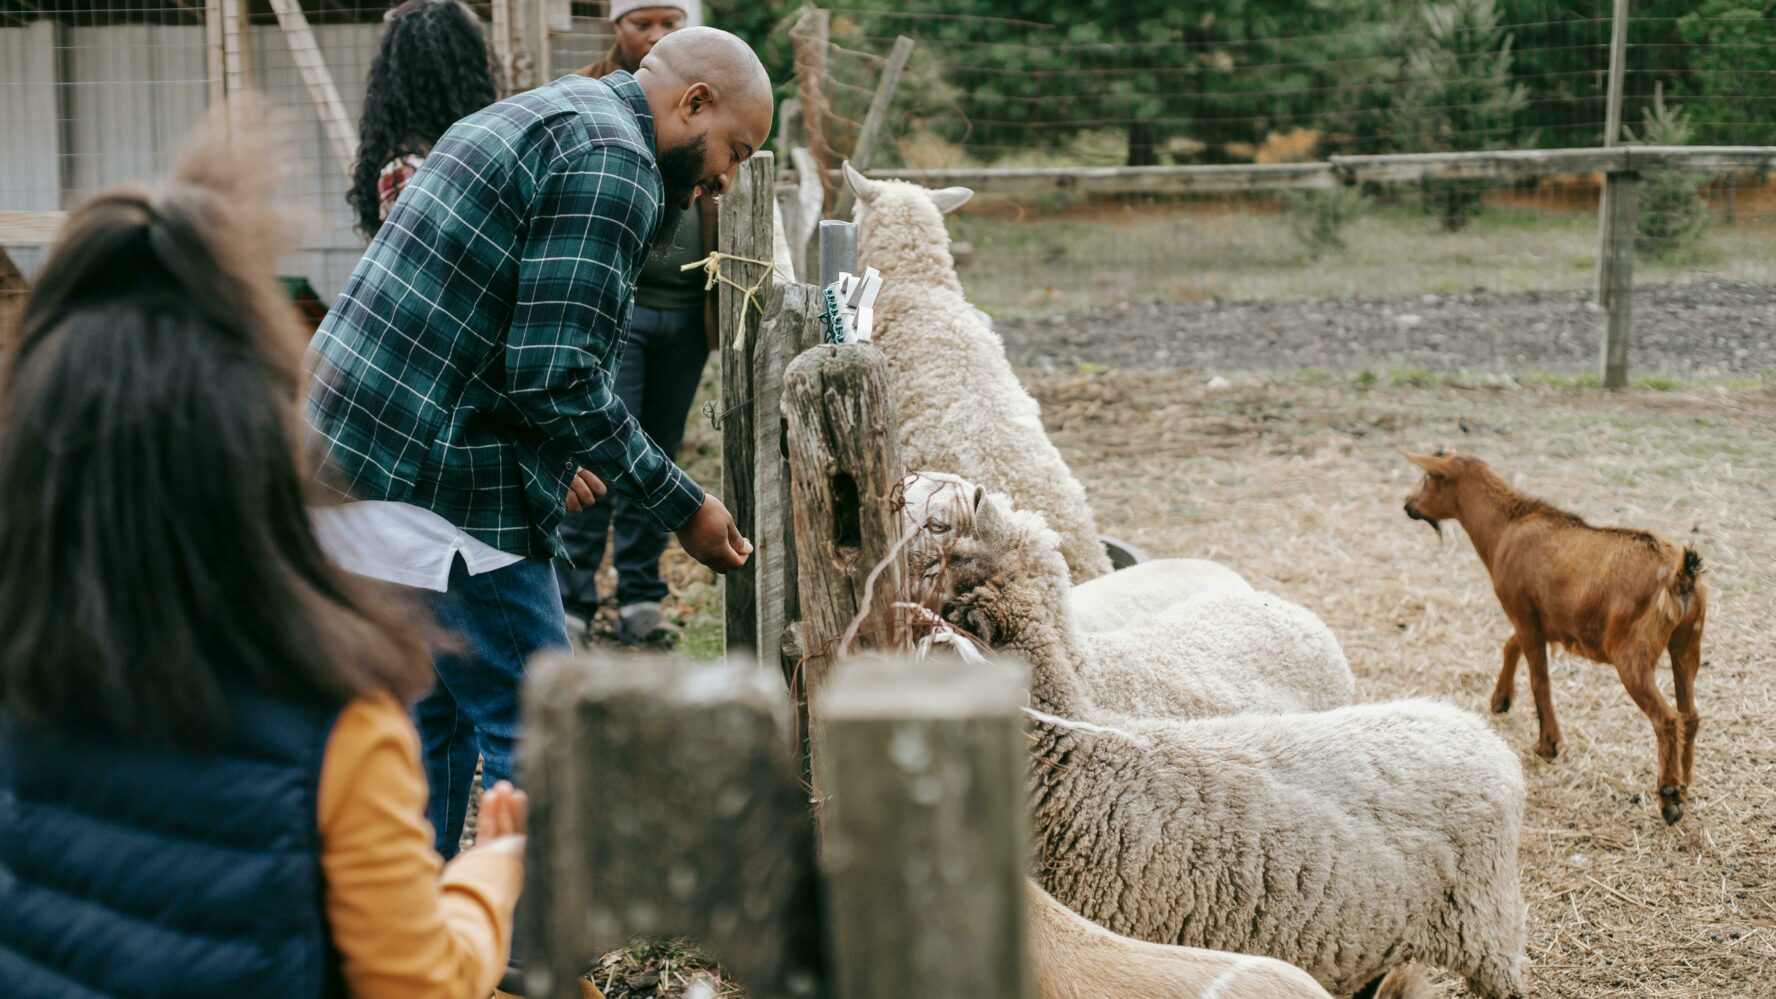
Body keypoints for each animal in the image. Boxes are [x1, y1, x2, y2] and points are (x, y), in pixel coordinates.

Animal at [1399, 447, 1704, 821]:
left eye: (1429, 478)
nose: (1408, 505)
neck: (1506, 527)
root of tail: (1680, 575)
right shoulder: (1536, 619)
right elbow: (1510, 645)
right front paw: (1500, 700)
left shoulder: (1523, 612)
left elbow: (1539, 679)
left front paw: (1548, 744)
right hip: (1687, 644)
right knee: (1690, 715)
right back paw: (1685, 785)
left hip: (1633, 653)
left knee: (1667, 719)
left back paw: (1670, 796)